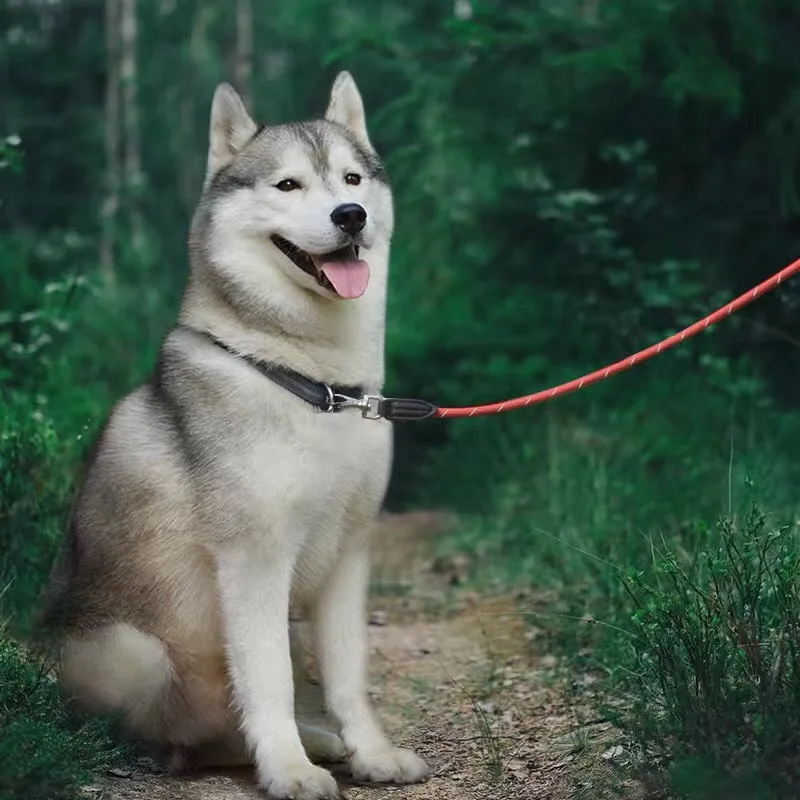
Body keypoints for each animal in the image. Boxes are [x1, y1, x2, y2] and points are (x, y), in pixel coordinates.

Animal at [42, 72, 432, 796]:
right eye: (288, 185)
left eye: (352, 178)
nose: (350, 216)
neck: (320, 389)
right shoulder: (254, 558)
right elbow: (270, 679)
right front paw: (287, 769)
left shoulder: (350, 554)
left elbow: (348, 676)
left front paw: (371, 753)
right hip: (132, 650)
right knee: (188, 730)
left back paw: (319, 742)